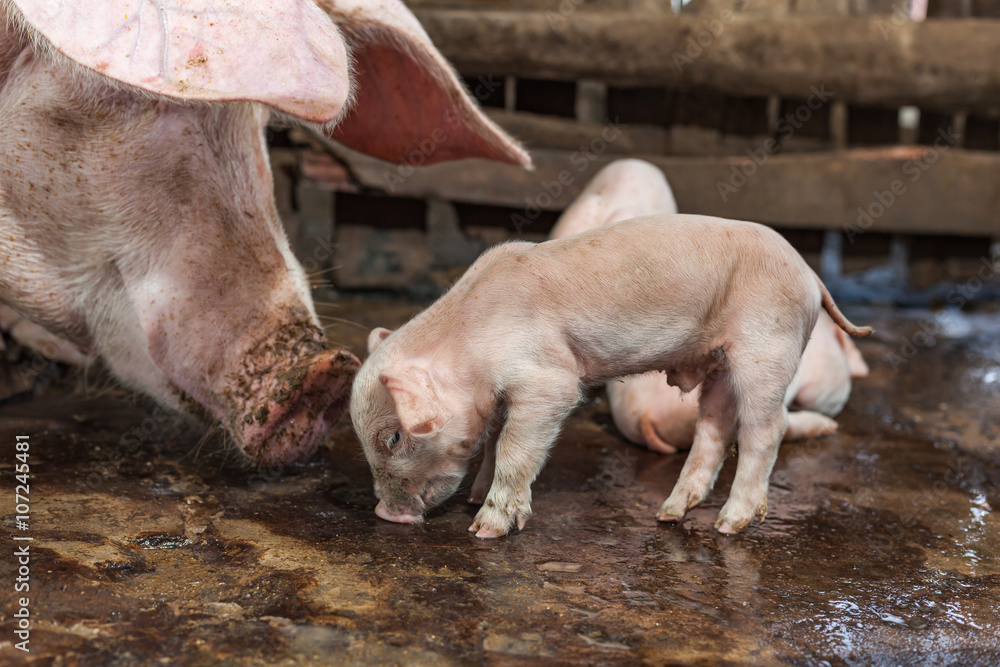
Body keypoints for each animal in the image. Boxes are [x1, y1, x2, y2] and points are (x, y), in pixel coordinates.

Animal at [351, 214, 873, 537]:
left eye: (394, 437)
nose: (384, 513)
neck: (471, 347)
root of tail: (810, 274)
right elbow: (494, 441)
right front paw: (473, 497)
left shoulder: (548, 380)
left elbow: (516, 448)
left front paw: (484, 529)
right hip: (721, 361)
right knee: (714, 429)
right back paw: (668, 516)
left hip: (768, 346)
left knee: (766, 429)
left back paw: (728, 525)